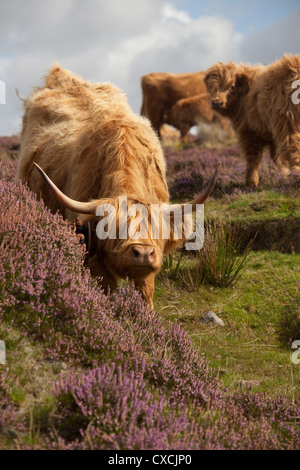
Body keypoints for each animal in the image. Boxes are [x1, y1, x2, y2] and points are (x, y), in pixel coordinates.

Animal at [18, 65, 219, 304]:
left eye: (155, 227)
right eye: (114, 228)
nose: (143, 253)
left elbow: (145, 293)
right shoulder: (93, 254)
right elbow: (107, 289)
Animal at [204, 54, 300, 186]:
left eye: (232, 86)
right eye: (210, 87)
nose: (216, 102)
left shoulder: (250, 132)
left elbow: (253, 158)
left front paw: (251, 183)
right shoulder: (271, 133)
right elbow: (277, 157)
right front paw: (285, 176)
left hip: (289, 122)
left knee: (293, 148)